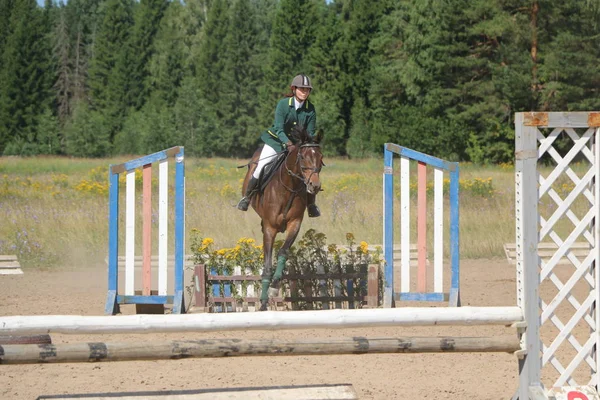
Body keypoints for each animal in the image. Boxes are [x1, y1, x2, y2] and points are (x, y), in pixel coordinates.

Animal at [240, 125, 324, 310]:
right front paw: (264, 301)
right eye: (302, 157)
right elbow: (267, 265)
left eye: (321, 157)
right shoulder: (270, 228)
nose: (314, 186)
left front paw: (274, 286)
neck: (289, 187)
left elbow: (283, 251)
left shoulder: (295, 224)